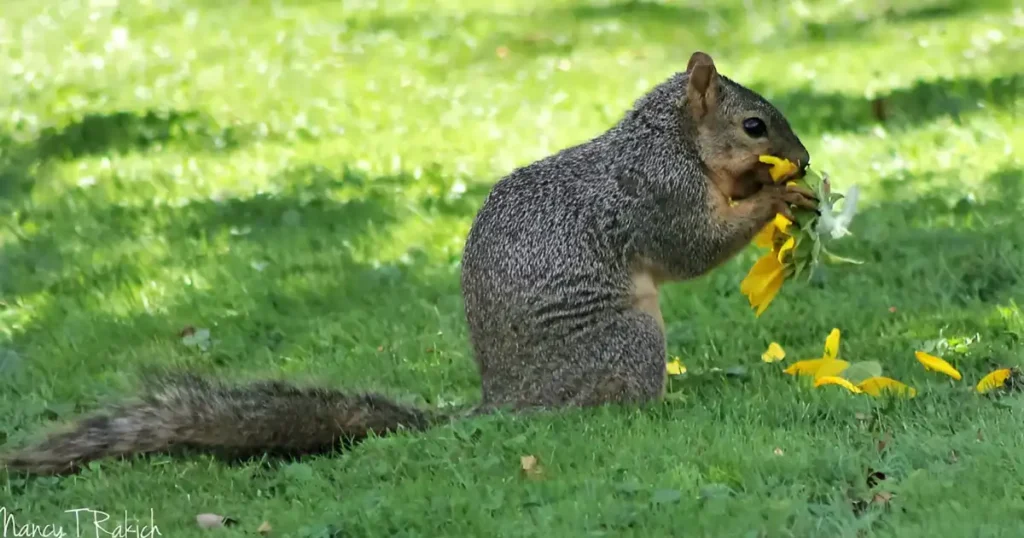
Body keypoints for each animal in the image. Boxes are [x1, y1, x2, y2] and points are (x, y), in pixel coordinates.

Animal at [0, 52, 815, 475]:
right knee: (613, 404)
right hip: (627, 342)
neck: (671, 141)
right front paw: (776, 195)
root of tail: (508, 401)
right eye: (755, 125)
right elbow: (689, 246)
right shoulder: (656, 193)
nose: (804, 159)